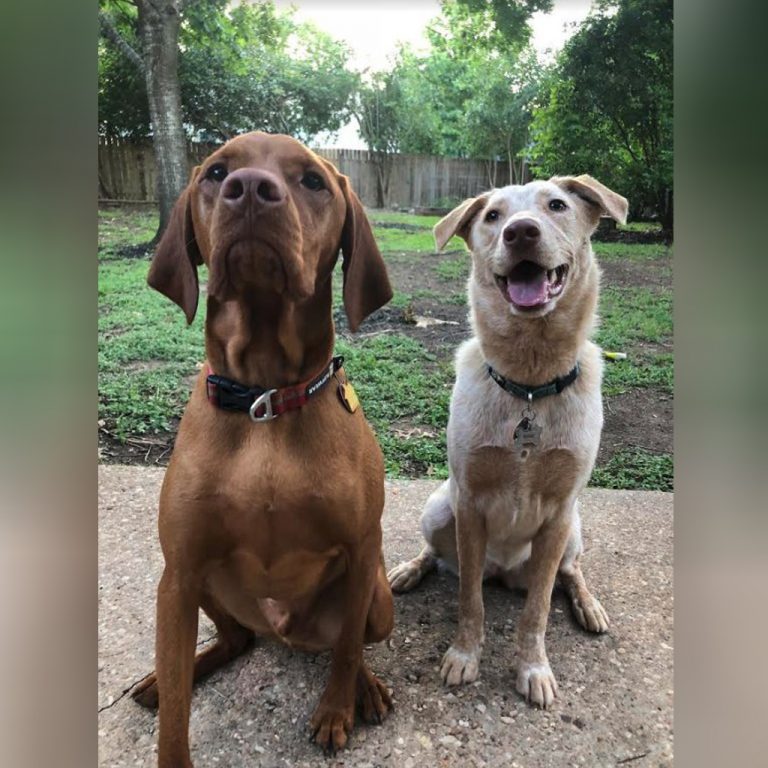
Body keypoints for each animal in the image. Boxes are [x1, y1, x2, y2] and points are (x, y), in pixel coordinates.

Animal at [129, 132, 392, 760]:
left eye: (313, 181)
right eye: (215, 170)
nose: (248, 188)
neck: (264, 400)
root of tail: (284, 632)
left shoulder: (361, 549)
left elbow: (348, 648)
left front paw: (336, 709)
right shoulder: (180, 572)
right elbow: (176, 720)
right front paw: (171, 705)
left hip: (377, 595)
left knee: (346, 644)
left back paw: (366, 688)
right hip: (196, 584)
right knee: (235, 640)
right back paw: (169, 677)